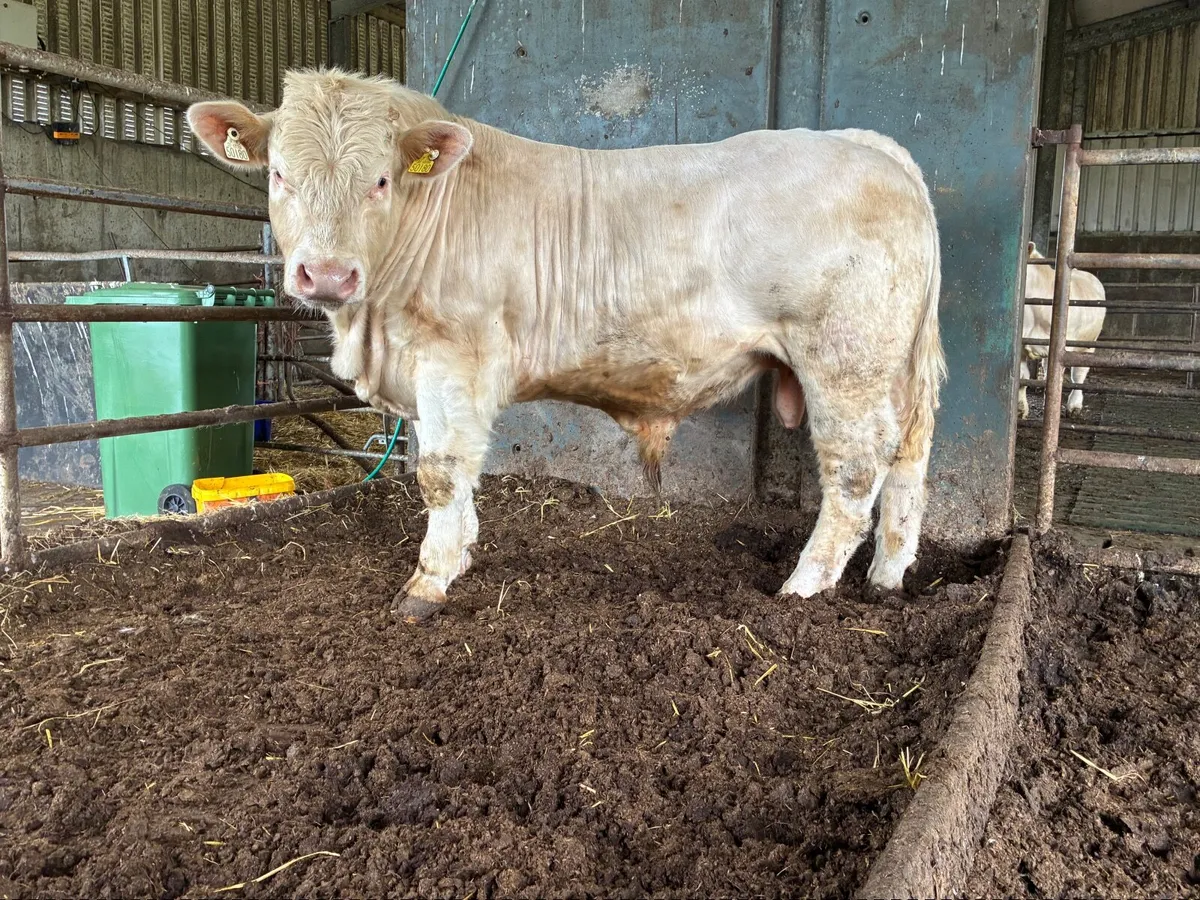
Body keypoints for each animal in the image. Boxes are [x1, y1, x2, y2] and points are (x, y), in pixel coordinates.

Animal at [188, 69, 946, 622]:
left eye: (379, 179)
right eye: (278, 175)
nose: (326, 274)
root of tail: (866, 146)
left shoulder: (453, 358)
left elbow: (441, 470)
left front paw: (428, 583)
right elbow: (454, 469)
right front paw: (461, 554)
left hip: (844, 360)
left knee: (854, 471)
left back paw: (802, 590)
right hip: (892, 369)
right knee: (908, 461)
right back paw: (886, 579)